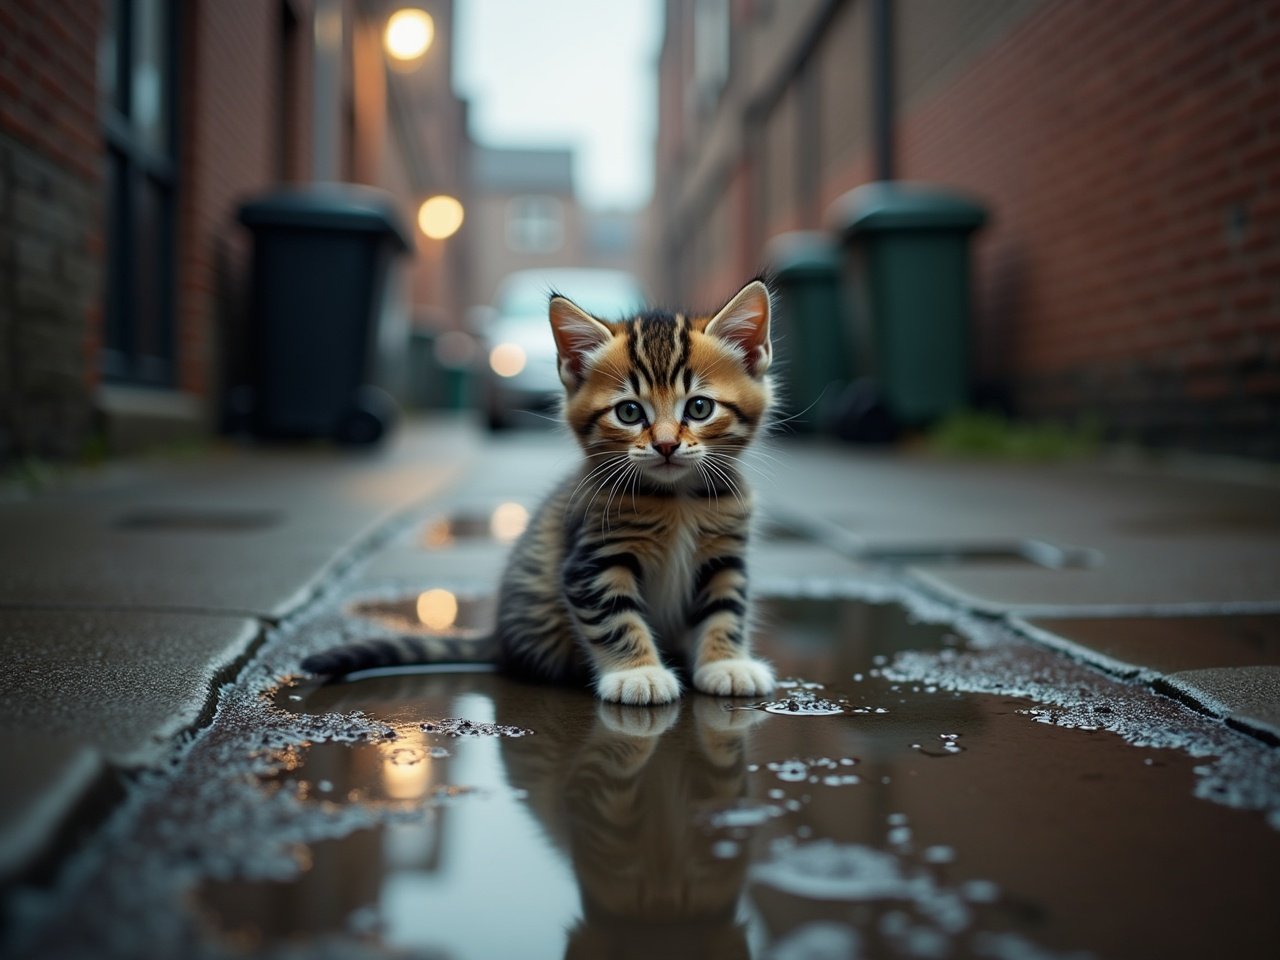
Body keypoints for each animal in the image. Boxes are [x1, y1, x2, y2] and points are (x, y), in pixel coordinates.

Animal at [302, 277, 778, 706]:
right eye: (629, 412)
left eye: (699, 407)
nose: (664, 445)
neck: (677, 497)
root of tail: (498, 633)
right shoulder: (591, 560)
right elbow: (616, 620)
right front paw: (637, 674)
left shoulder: (725, 555)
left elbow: (726, 609)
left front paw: (725, 664)